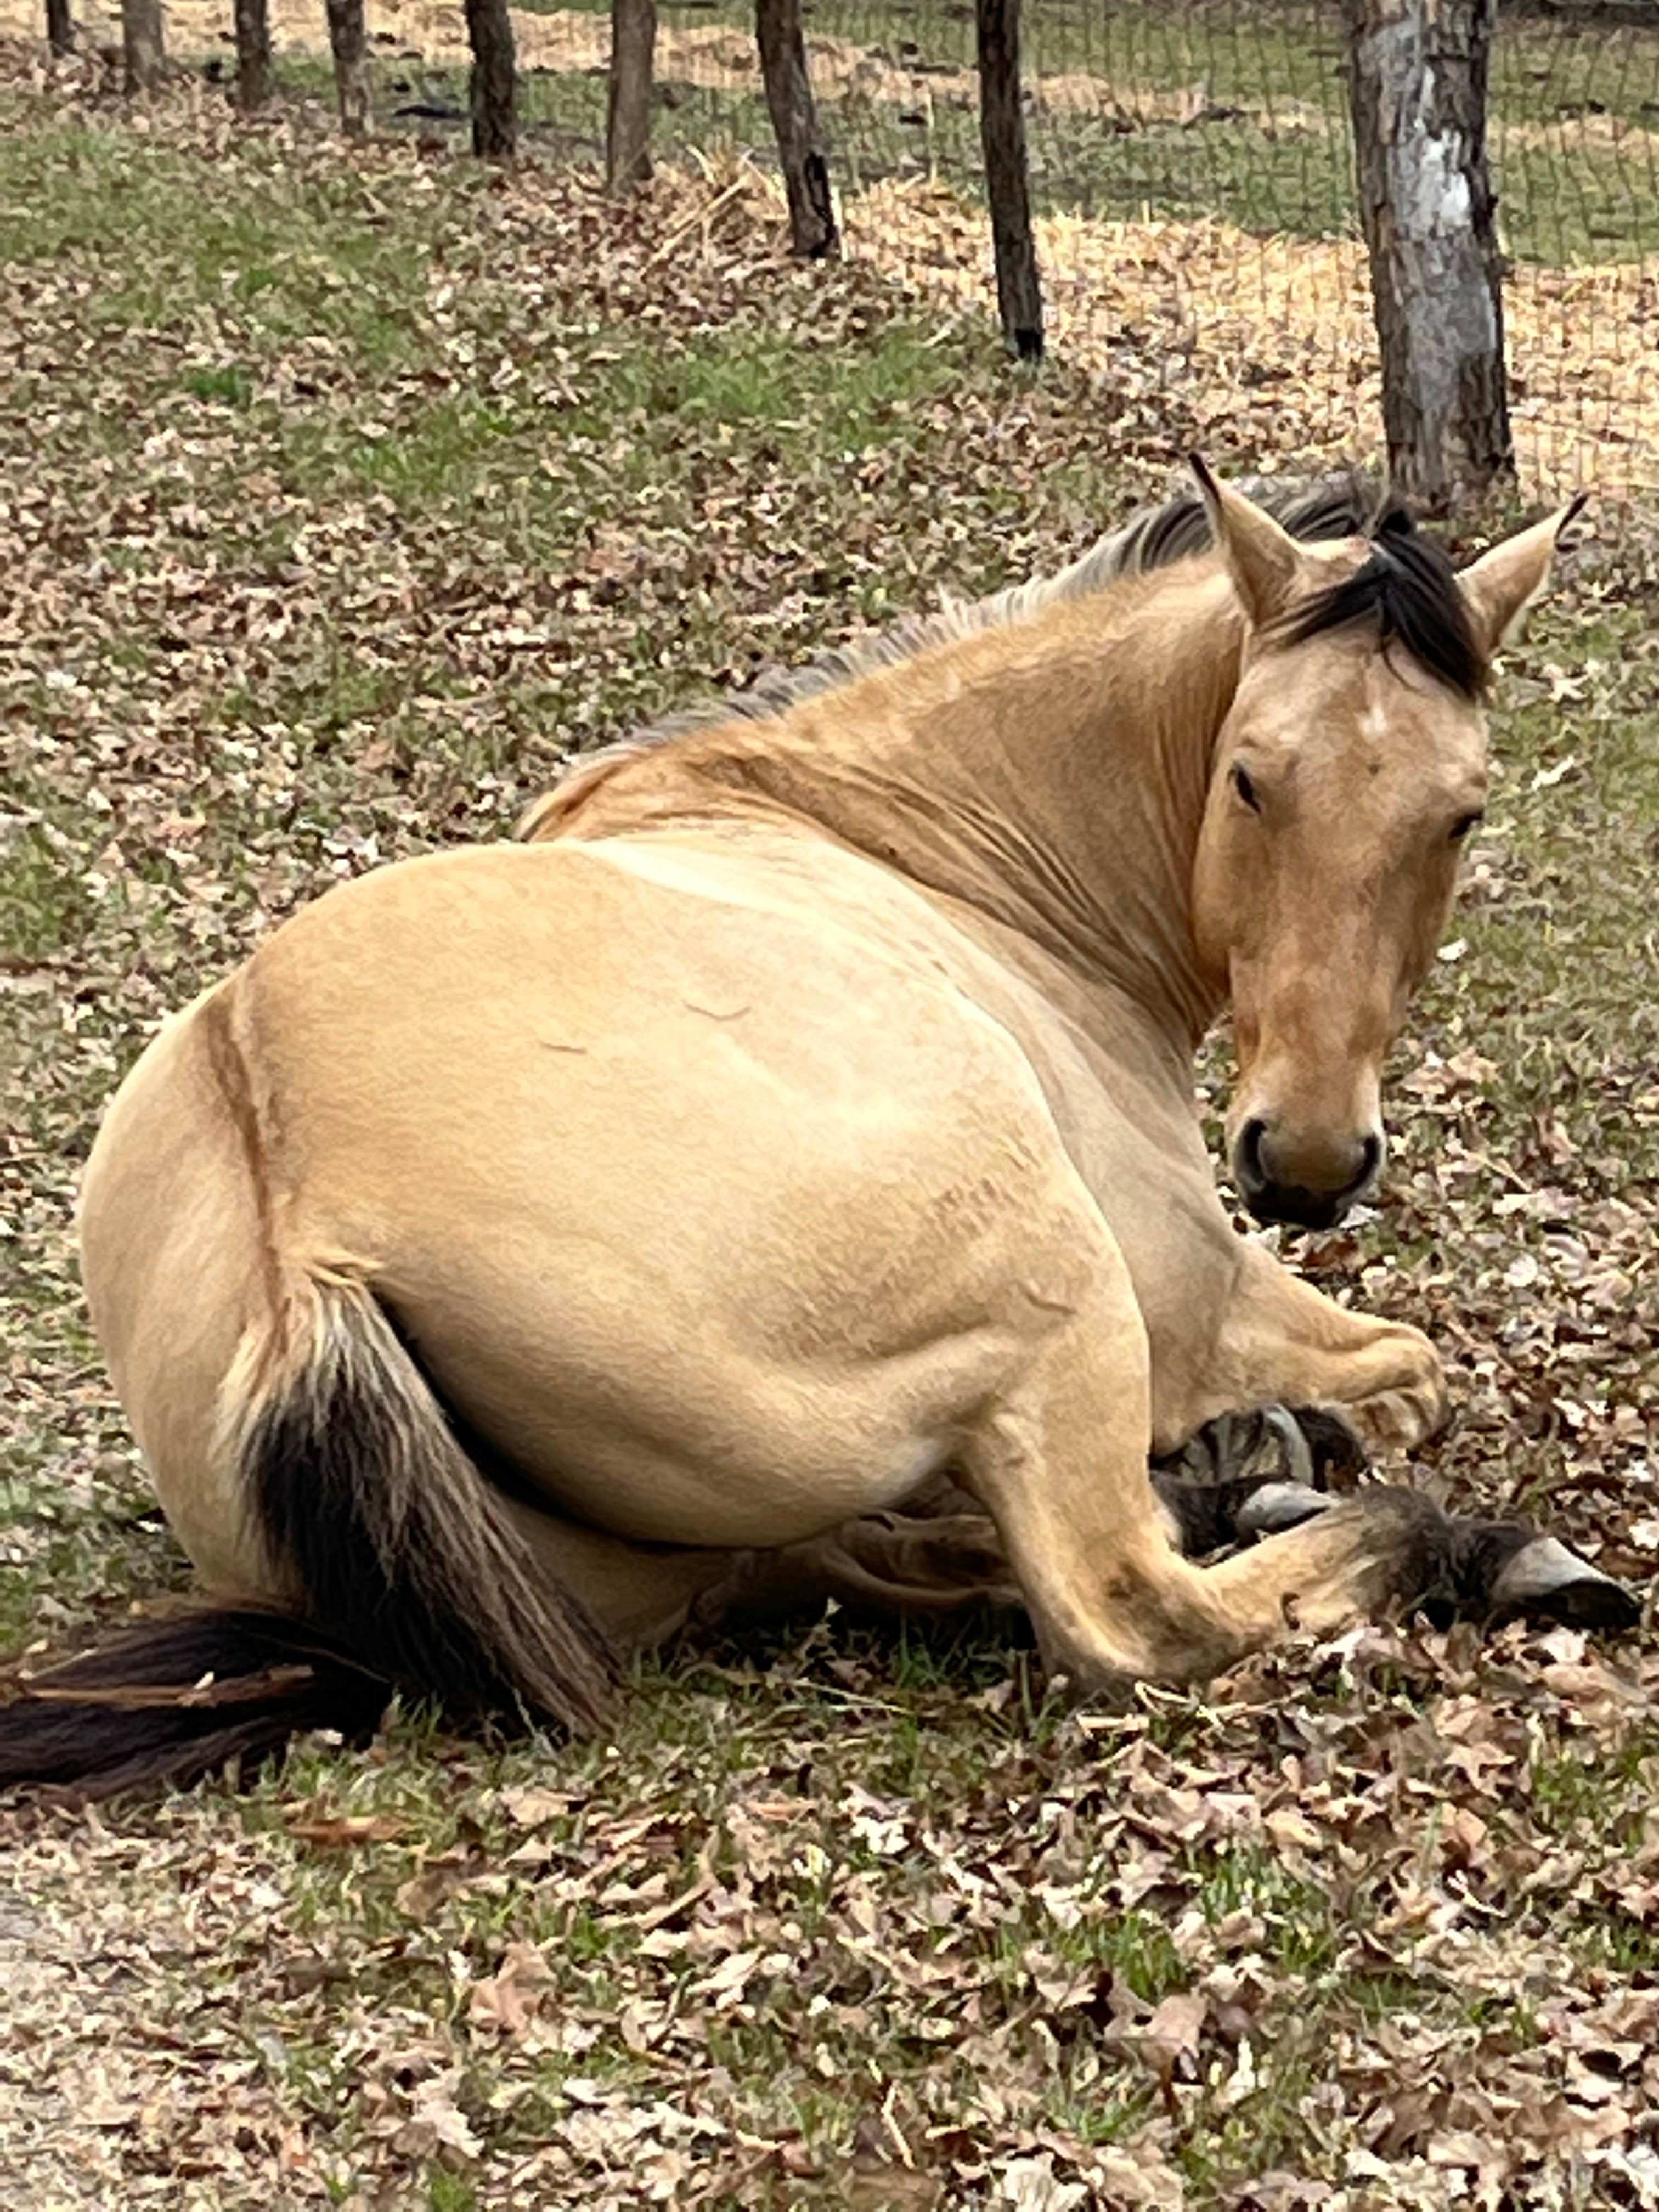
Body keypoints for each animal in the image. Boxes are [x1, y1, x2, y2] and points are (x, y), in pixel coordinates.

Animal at [1, 465, 1637, 1800]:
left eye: (1462, 814)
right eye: (1250, 776)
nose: (1304, 1162)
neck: (935, 850)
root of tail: (299, 1229)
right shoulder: (1202, 1303)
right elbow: (1409, 1376)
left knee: (883, 1563)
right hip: (1058, 1296)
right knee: (1124, 1604)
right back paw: (1437, 1539)